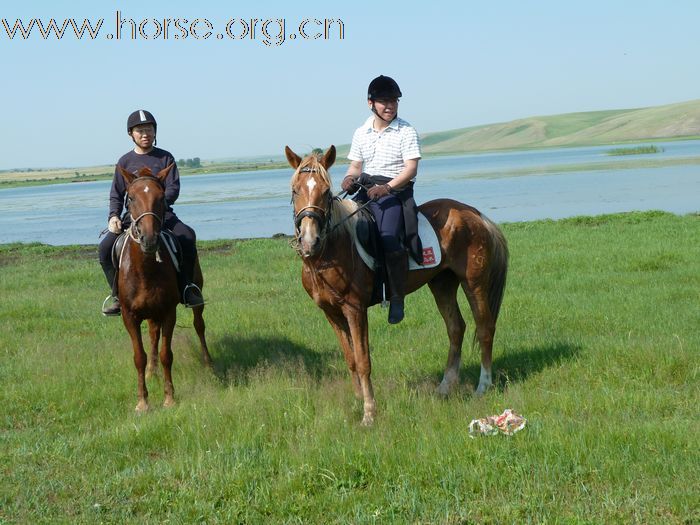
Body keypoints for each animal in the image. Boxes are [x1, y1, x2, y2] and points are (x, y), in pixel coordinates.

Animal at [118, 164, 211, 410]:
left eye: (161, 198)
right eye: (130, 198)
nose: (149, 238)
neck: (145, 269)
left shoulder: (169, 312)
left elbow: (166, 354)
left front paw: (169, 397)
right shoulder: (129, 316)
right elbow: (139, 356)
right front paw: (142, 401)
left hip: (196, 296)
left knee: (199, 325)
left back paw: (208, 362)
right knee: (152, 334)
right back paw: (152, 372)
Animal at [284, 145, 508, 424]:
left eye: (326, 192)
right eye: (295, 190)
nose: (309, 240)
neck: (333, 249)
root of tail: (475, 214)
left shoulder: (355, 309)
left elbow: (363, 361)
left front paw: (369, 412)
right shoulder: (331, 313)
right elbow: (350, 359)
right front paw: (358, 400)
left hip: (474, 283)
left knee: (485, 328)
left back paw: (483, 386)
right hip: (442, 283)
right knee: (456, 328)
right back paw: (444, 387)